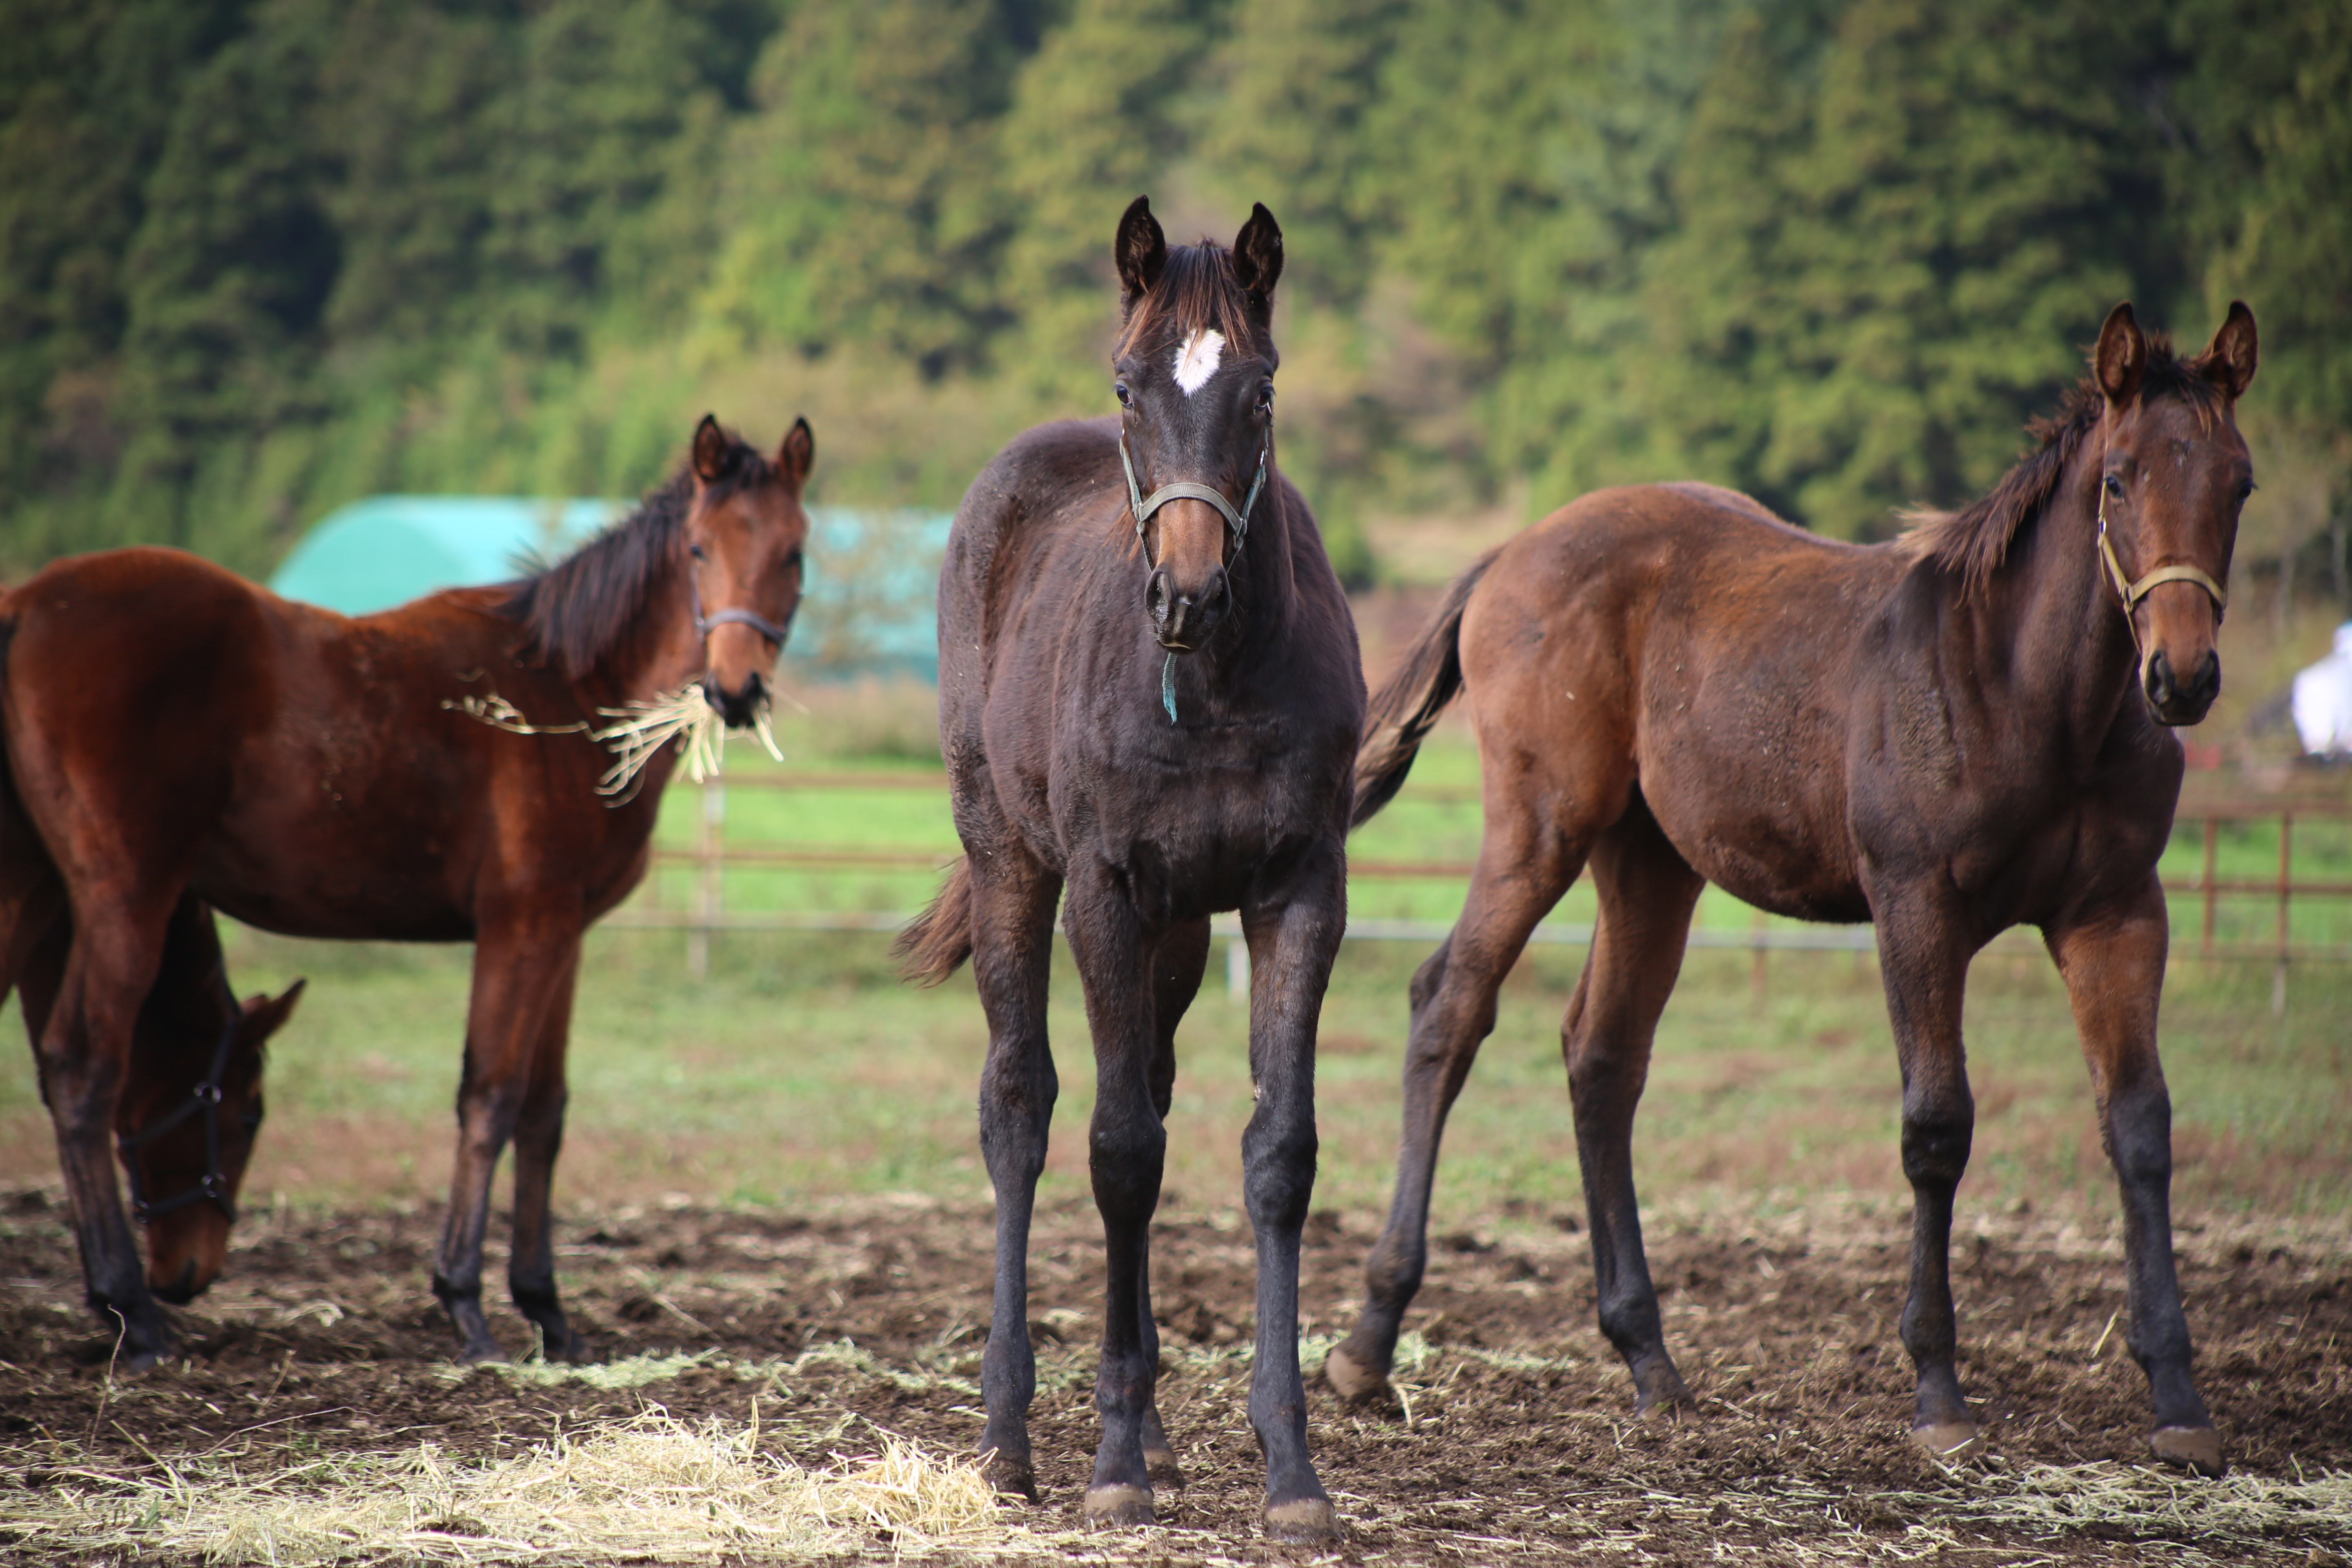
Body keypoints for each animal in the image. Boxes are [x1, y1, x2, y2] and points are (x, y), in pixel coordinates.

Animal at [2, 411, 809, 1363]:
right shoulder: (521, 925)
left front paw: (548, 1311)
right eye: (697, 548)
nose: (736, 690)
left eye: (794, 552)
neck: (571, 693)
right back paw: (133, 1309)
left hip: (37, 893)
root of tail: (25, 604)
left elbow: (545, 1110)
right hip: (123, 896)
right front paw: (465, 1303)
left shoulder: (564, 935)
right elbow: (491, 1098)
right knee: (84, 1067)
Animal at [903, 200, 1373, 1542]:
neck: (1209, 683)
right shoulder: (1105, 892)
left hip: (1178, 930)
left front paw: (1290, 1470)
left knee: (1151, 1089)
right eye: (1129, 386)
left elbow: (1276, 1154)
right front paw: (1111, 1463)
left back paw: (1153, 1420)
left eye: (1260, 391)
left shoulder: (1296, 892)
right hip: (1011, 863)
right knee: (1020, 1108)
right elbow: (1115, 1150)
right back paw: (1009, 1437)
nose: (1185, 592)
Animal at [1326, 303, 2258, 1486]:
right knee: (1449, 1004)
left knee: (1603, 1052)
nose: (2180, 677)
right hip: (1540, 829)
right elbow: (1936, 1124)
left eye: (2238, 482)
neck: (2030, 691)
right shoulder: (1916, 903)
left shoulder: (2117, 912)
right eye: (2119, 481)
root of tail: (1510, 552)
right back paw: (1366, 1344)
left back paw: (1651, 1362)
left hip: (1649, 859)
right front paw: (1938, 1393)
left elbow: (2138, 1123)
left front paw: (2178, 1400)